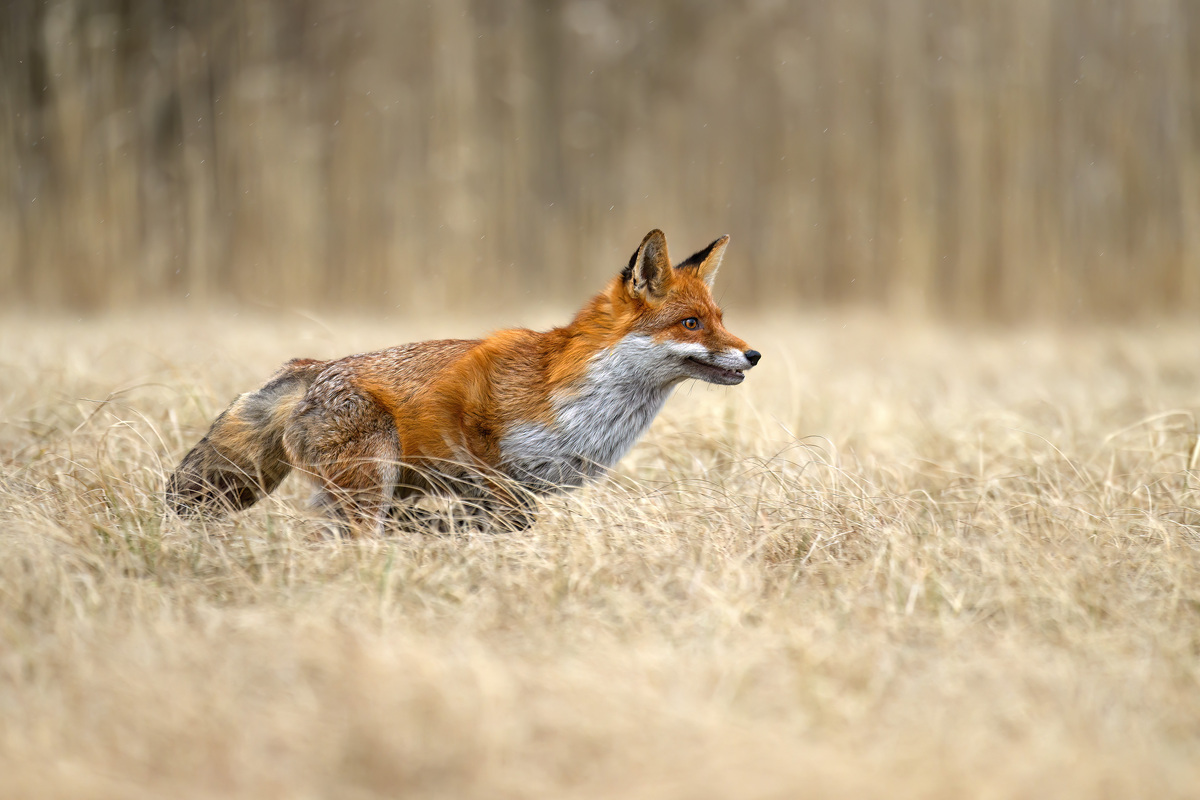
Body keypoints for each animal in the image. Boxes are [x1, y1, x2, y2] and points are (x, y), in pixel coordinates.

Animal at [166, 229, 760, 534]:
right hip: (372, 481)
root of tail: (308, 368)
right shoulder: (481, 446)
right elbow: (509, 516)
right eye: (691, 324)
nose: (753, 355)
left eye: (720, 319)